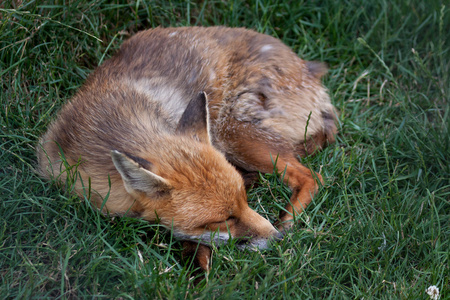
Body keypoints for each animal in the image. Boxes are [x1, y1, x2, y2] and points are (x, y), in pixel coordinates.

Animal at [37, 25, 336, 268]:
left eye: (244, 201)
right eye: (224, 219)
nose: (277, 238)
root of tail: (311, 72)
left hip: (233, 133)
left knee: (311, 177)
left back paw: (288, 219)